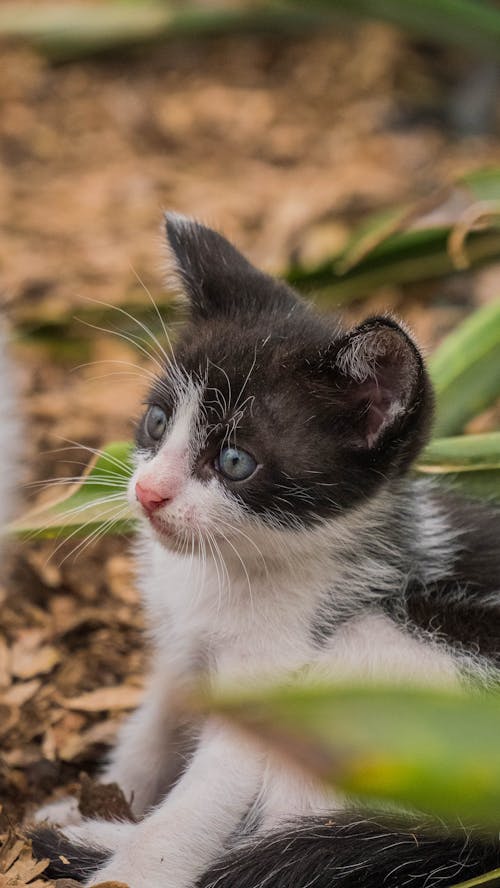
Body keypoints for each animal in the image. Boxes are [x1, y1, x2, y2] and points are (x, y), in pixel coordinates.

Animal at [30, 217, 500, 888]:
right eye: (155, 422)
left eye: (234, 461)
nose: (148, 493)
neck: (225, 568)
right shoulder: (179, 652)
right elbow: (150, 733)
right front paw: (101, 795)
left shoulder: (278, 672)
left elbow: (197, 808)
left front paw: (132, 863)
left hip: (384, 666)